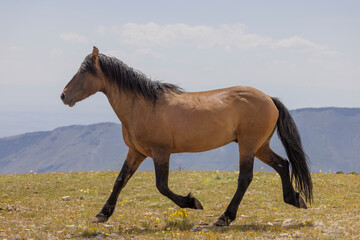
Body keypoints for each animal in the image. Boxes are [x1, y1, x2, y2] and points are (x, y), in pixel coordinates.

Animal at [61, 47, 312, 227]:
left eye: (84, 71)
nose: (63, 96)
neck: (143, 105)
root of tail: (269, 98)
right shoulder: (136, 152)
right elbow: (120, 180)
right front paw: (102, 214)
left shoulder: (160, 153)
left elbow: (162, 186)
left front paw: (192, 202)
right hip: (260, 146)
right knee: (282, 164)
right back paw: (295, 199)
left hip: (249, 146)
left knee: (245, 178)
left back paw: (224, 218)